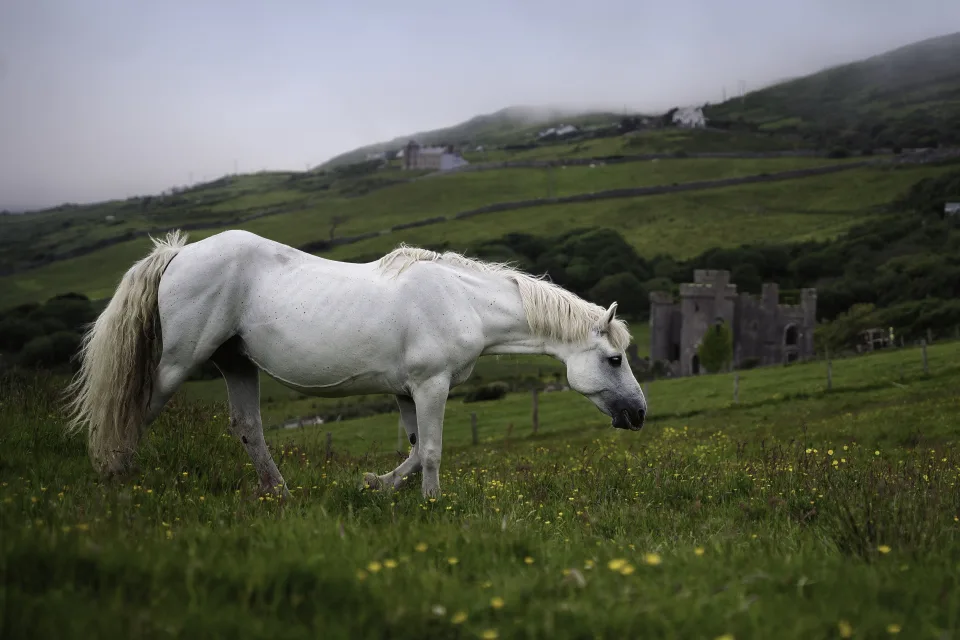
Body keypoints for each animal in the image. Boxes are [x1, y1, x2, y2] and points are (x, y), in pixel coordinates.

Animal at [65, 229, 647, 498]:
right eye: (615, 358)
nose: (639, 414)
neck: (463, 300)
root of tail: (178, 254)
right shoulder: (431, 386)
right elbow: (431, 451)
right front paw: (433, 504)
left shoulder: (406, 391)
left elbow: (412, 450)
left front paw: (375, 485)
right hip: (177, 364)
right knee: (133, 412)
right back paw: (118, 479)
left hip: (236, 364)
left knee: (248, 427)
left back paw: (280, 493)